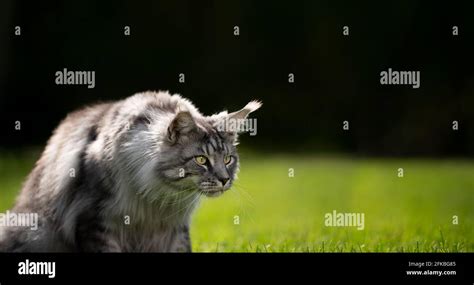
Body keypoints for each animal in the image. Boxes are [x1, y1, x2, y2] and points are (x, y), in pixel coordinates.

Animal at [0, 90, 262, 251]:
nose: (224, 180)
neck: (159, 196)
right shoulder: (96, 220)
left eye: (227, 159)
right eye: (201, 160)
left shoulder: (175, 228)